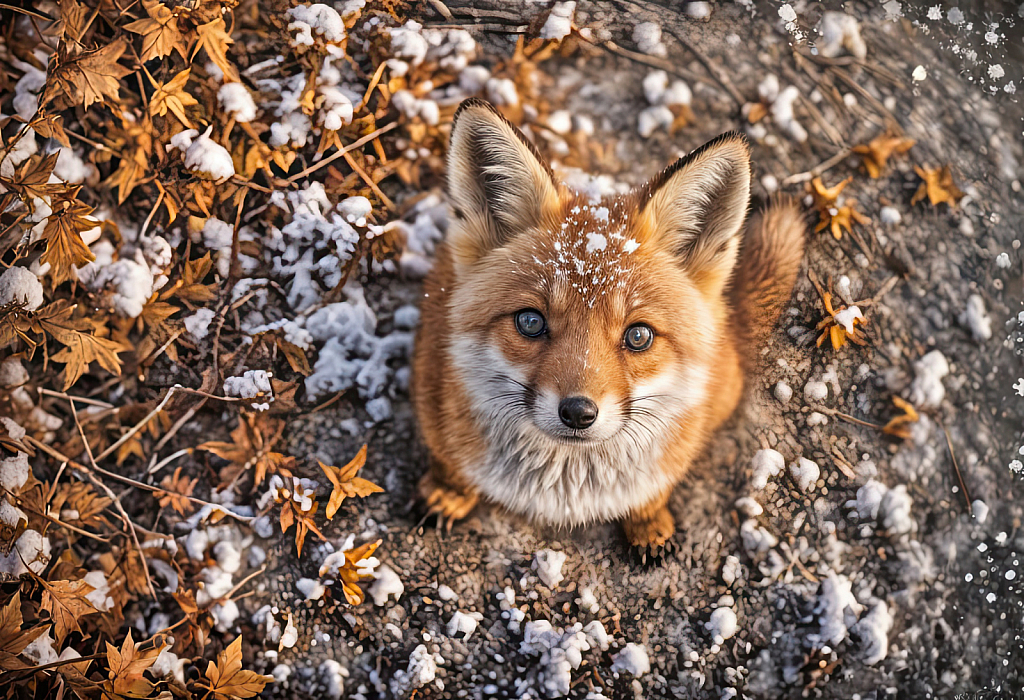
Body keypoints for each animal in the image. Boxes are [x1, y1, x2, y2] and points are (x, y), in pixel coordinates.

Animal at [411, 98, 802, 556]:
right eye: (530, 322)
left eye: (638, 335)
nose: (578, 414)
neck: (565, 493)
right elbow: (450, 466)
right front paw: (448, 493)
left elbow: (653, 493)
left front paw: (647, 522)